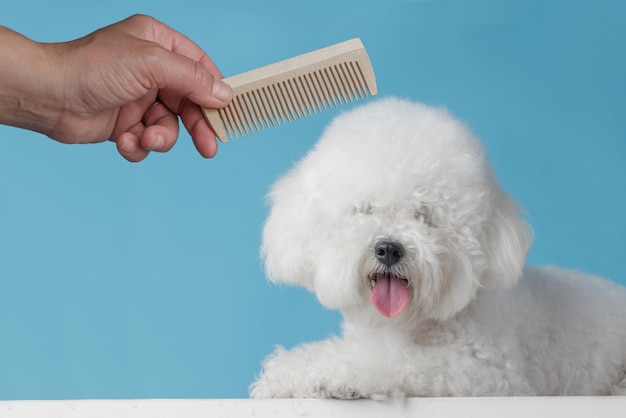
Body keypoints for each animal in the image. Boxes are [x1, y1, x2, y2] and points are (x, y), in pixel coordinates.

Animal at [250, 97, 624, 398]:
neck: (407, 325)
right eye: (365, 209)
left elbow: (389, 361)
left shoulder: (487, 372)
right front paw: (286, 374)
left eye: (424, 215)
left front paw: (327, 374)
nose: (389, 248)